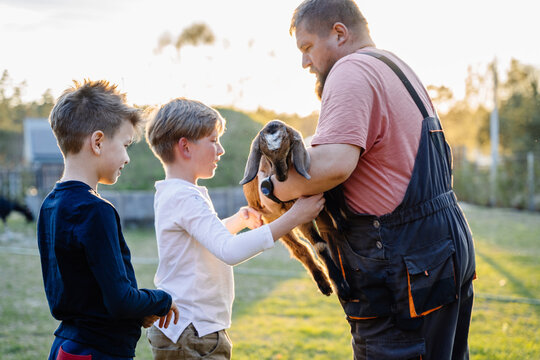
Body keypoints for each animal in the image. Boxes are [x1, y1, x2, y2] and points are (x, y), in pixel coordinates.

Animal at [240, 119, 350, 300]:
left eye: (288, 146)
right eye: (265, 154)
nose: (280, 177)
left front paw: (340, 221)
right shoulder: (300, 214)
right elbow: (318, 246)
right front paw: (340, 285)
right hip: (275, 220)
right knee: (299, 248)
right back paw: (322, 281)